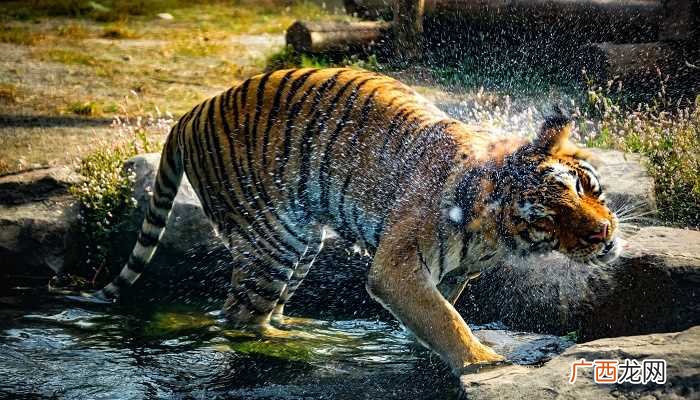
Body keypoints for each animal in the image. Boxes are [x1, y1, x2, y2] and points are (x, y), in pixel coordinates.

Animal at [82, 67, 622, 375]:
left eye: (580, 187)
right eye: (548, 218)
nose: (603, 233)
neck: (497, 235)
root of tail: (189, 113)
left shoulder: (450, 273)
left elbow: (439, 311)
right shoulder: (396, 266)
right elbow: (444, 318)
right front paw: (484, 363)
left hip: (300, 242)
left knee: (262, 307)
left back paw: (299, 326)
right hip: (273, 240)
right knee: (238, 318)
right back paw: (299, 345)